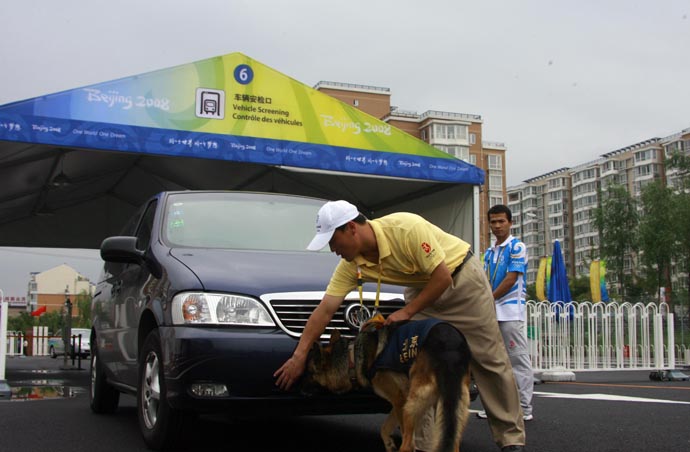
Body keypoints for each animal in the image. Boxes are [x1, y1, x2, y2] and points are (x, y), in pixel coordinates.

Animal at [303, 315, 472, 452]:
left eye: (309, 372)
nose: (301, 388)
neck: (353, 358)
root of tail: (450, 352)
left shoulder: (400, 400)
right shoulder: (398, 402)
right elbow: (384, 428)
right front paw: (389, 444)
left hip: (412, 406)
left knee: (408, 445)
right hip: (454, 409)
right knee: (454, 445)